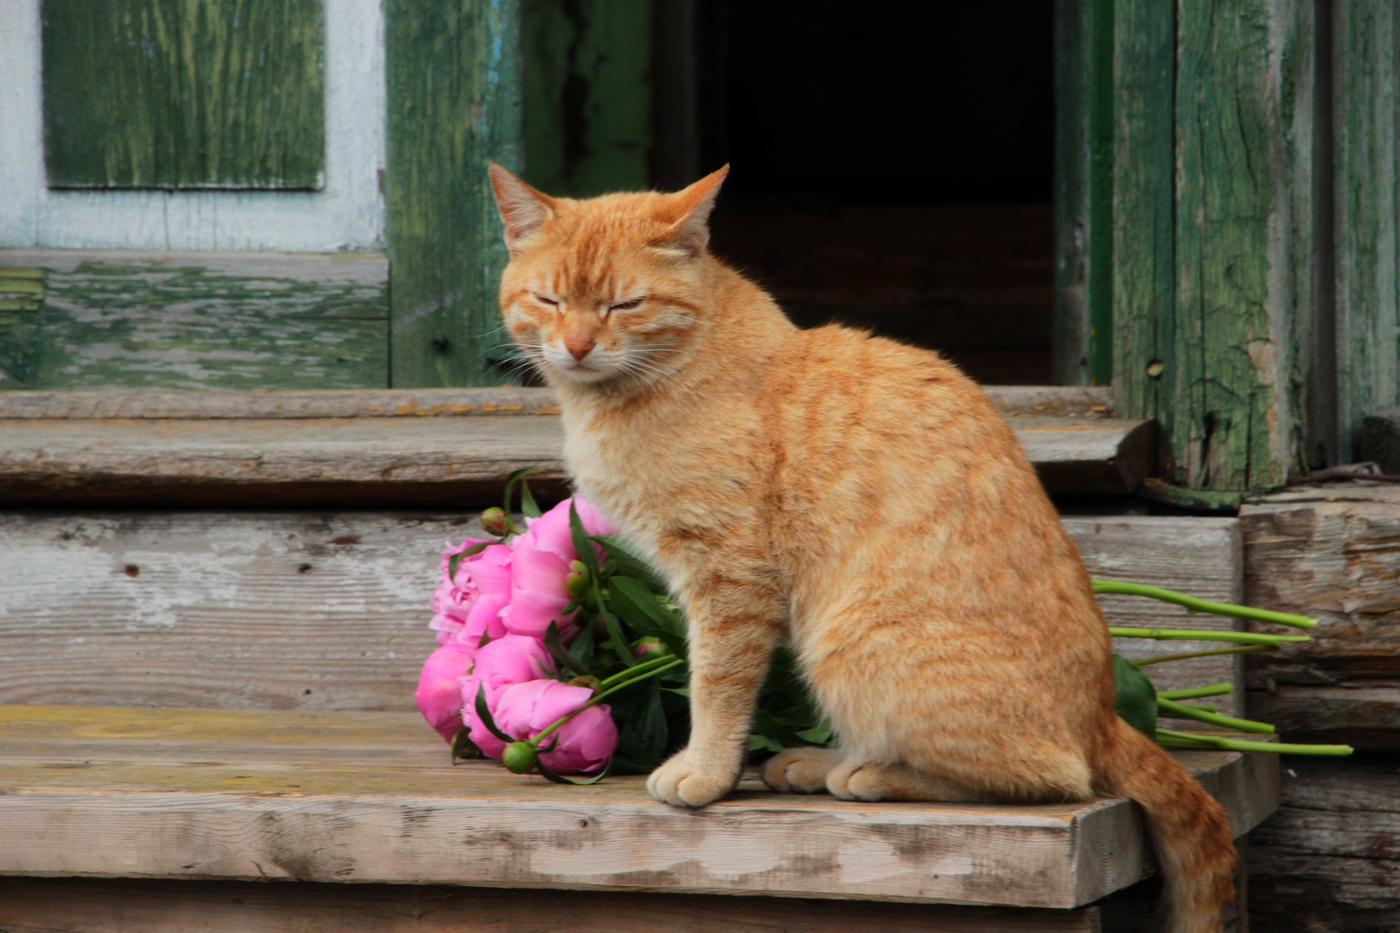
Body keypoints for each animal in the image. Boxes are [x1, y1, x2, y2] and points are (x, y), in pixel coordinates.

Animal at [490, 163, 1237, 924]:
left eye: (624, 304)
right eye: (550, 299)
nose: (578, 346)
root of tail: (1104, 717)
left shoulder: (728, 574)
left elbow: (715, 685)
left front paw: (705, 771)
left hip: (849, 645)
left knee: (1056, 776)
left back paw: (869, 772)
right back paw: (820, 762)